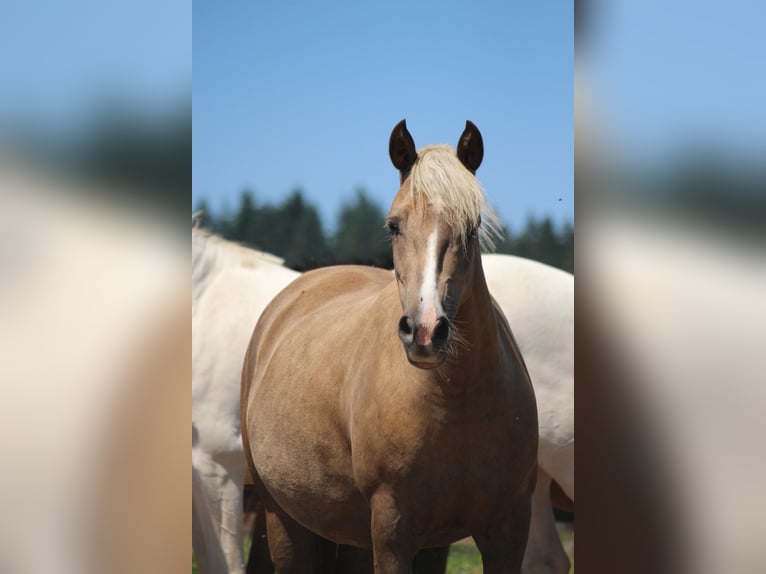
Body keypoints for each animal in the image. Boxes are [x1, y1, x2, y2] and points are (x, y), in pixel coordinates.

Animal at [241, 120, 539, 573]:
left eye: (472, 226)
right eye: (393, 225)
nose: (426, 331)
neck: (458, 402)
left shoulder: (506, 530)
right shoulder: (392, 532)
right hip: (283, 520)